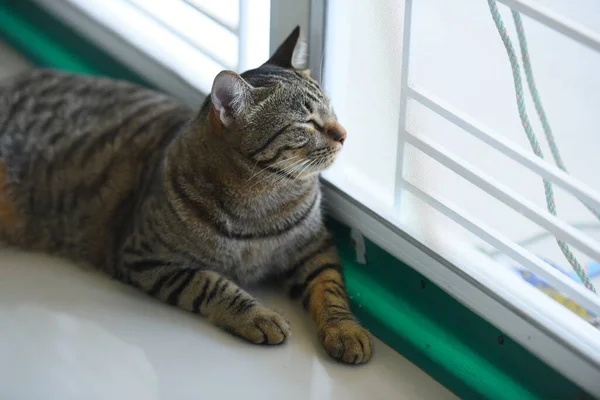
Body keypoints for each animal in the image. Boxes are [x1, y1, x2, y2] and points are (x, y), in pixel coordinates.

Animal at [0, 27, 376, 362]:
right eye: (307, 123)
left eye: (331, 109)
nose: (344, 134)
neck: (261, 201)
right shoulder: (147, 258)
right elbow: (211, 284)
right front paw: (258, 315)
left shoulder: (315, 245)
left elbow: (329, 287)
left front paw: (345, 330)